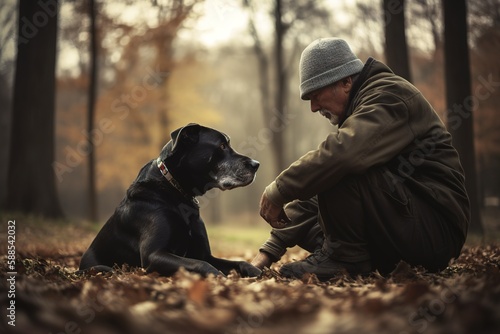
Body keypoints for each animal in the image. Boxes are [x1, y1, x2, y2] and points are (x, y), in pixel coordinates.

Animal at [79, 122, 262, 276]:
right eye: (222, 146)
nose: (256, 164)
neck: (176, 191)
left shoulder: (204, 254)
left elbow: (238, 262)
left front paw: (257, 272)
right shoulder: (154, 254)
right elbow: (201, 264)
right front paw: (218, 277)